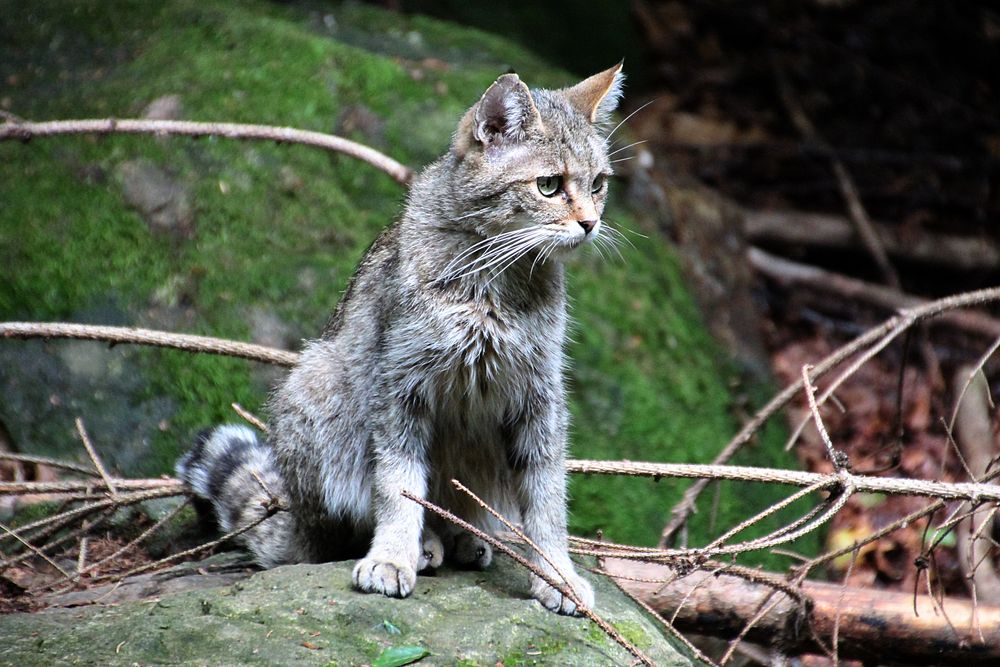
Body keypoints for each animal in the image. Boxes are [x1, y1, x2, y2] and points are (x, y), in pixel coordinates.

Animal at [176, 64, 620, 616]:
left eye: (599, 184)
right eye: (548, 185)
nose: (590, 223)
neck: (495, 275)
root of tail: (296, 516)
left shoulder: (539, 397)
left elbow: (547, 498)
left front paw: (556, 572)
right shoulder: (399, 385)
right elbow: (398, 485)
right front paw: (392, 554)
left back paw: (464, 539)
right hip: (316, 388)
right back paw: (423, 545)